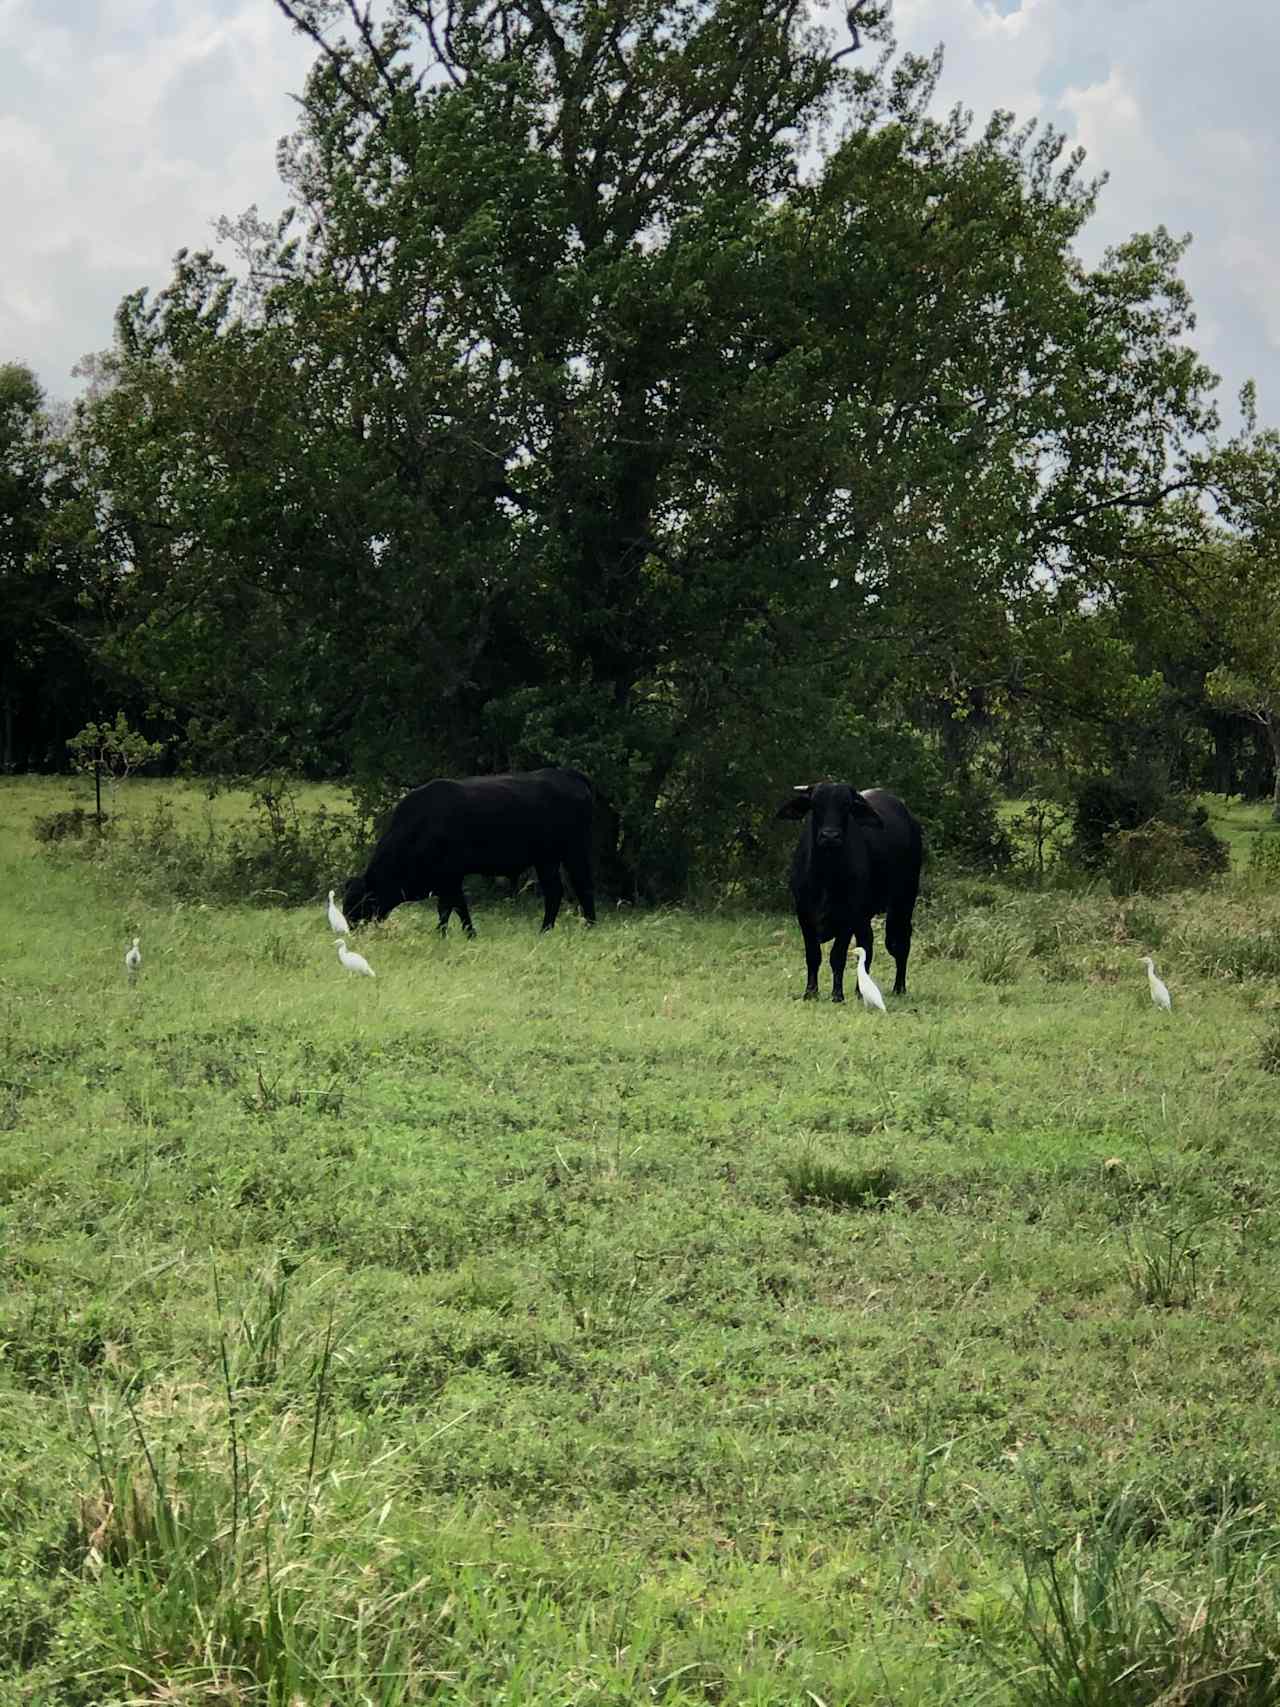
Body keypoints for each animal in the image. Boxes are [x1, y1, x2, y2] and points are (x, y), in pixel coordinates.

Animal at [343, 771, 600, 942]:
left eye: (359, 903)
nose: (350, 927)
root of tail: (568, 775)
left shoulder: (451, 877)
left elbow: (453, 907)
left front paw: (460, 934)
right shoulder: (444, 880)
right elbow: (451, 908)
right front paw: (450, 933)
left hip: (574, 852)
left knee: (583, 886)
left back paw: (589, 927)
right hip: (546, 860)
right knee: (554, 891)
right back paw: (545, 930)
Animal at [771, 781, 921, 1003]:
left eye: (846, 805)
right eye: (816, 804)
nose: (830, 836)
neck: (826, 874)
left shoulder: (848, 915)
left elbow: (837, 956)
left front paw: (837, 995)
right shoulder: (804, 914)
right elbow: (813, 955)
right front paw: (810, 992)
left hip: (904, 901)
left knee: (900, 942)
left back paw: (899, 988)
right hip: (866, 914)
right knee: (868, 943)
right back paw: (860, 991)